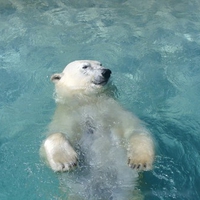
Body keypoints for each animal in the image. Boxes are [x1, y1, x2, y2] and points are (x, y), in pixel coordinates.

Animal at [40, 60, 155, 199]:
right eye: (85, 66)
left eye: (100, 64)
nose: (106, 71)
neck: (88, 101)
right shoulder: (67, 117)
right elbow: (53, 136)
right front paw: (66, 161)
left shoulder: (116, 112)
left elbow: (136, 130)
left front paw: (139, 162)